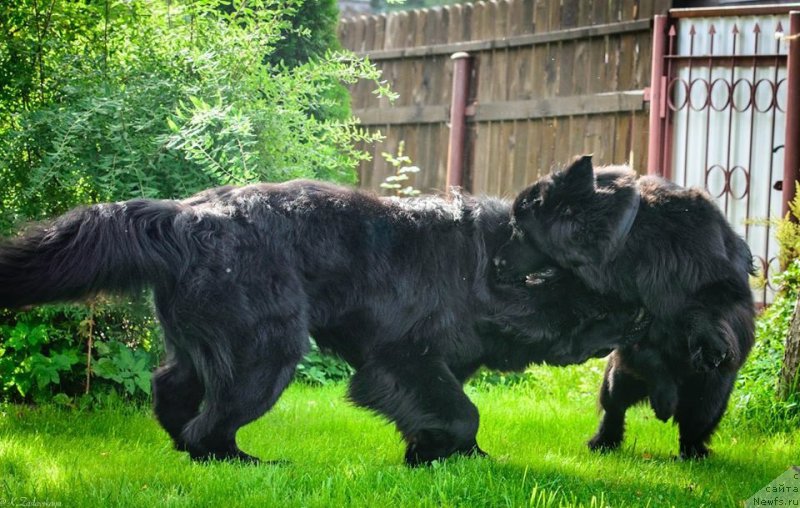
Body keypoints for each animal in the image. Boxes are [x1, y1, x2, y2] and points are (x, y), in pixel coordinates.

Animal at [0, 180, 647, 465]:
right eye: (601, 299)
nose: (642, 313)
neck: (488, 271)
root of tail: (184, 214)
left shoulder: (436, 366)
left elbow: (445, 412)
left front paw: (447, 456)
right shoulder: (400, 358)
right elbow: (462, 411)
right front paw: (448, 455)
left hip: (212, 339)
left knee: (170, 387)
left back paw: (182, 444)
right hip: (266, 352)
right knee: (213, 422)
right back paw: (239, 463)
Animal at [494, 156, 755, 459]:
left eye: (519, 230)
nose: (495, 263)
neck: (630, 240)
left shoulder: (719, 286)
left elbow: (708, 308)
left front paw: (708, 344)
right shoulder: (629, 323)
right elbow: (649, 357)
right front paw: (664, 397)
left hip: (709, 399)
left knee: (693, 427)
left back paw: (692, 452)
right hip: (617, 380)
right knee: (615, 409)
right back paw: (605, 440)